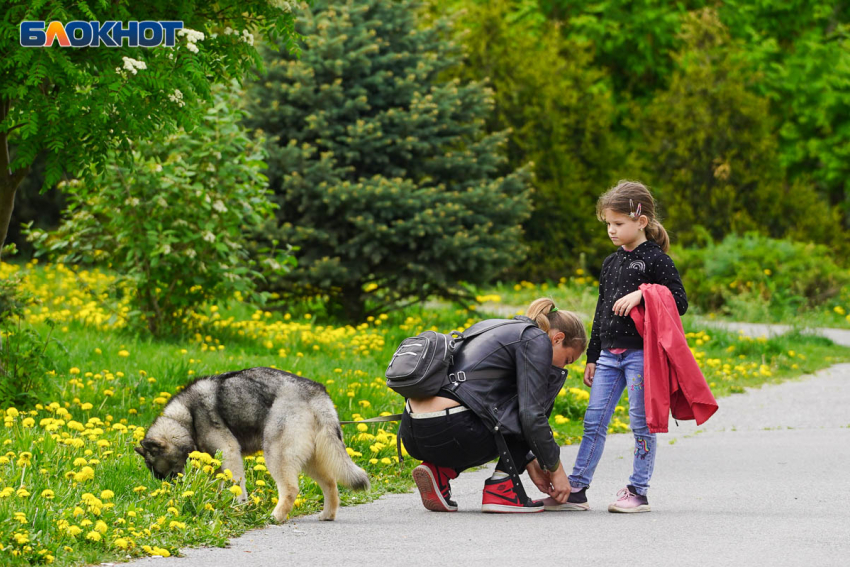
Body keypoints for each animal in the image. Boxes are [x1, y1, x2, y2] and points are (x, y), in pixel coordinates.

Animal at [135, 368, 368, 524]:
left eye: (168, 475)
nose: (174, 490)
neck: (186, 417)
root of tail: (317, 394)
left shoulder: (229, 451)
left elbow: (236, 483)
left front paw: (238, 504)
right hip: (310, 458)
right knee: (330, 483)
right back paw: (327, 514)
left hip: (277, 454)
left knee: (291, 489)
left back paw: (275, 516)